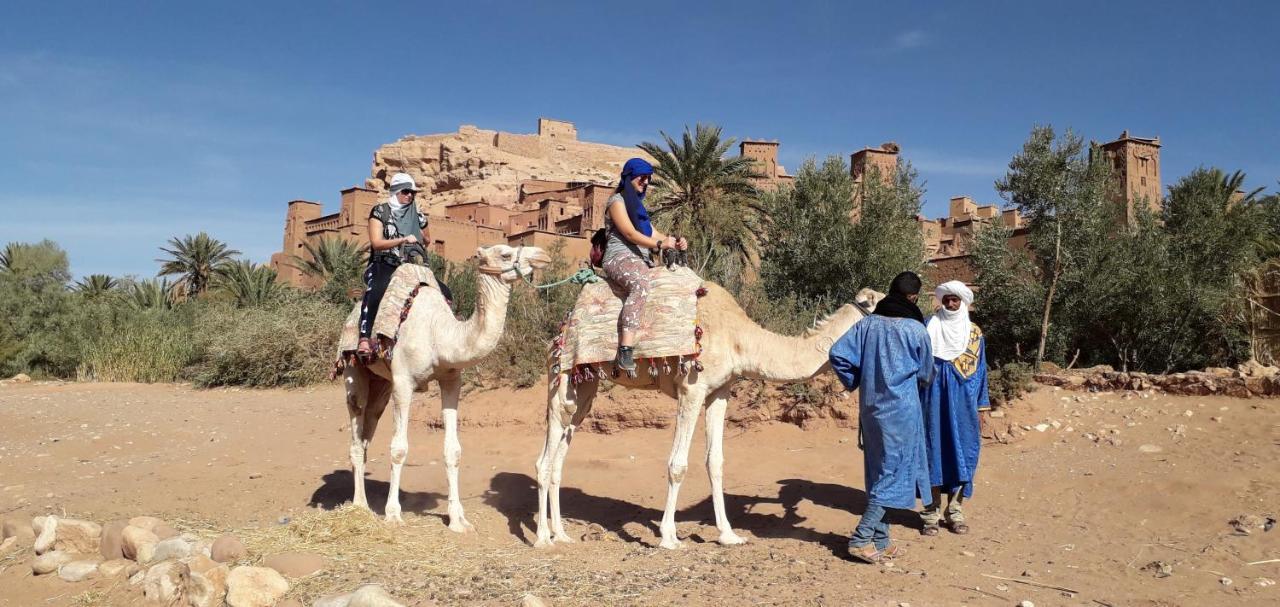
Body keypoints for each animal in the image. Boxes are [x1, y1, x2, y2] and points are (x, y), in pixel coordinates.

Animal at [345, 244, 550, 527]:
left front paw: (457, 519)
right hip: (354, 369)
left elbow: (453, 451)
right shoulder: (403, 382)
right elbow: (399, 449)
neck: (439, 336)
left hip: (382, 384)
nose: (543, 255)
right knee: (356, 427)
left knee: (368, 428)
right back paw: (359, 506)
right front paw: (394, 515)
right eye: (505, 254)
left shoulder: (451, 380)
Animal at [532, 281, 880, 548]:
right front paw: (668, 537)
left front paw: (729, 535)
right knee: (545, 456)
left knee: (561, 454)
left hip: (585, 389)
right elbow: (677, 465)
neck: (740, 339)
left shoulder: (720, 391)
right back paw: (542, 538)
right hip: (561, 377)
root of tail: (556, 335)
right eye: (884, 301)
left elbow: (716, 462)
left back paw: (561, 534)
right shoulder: (692, 388)